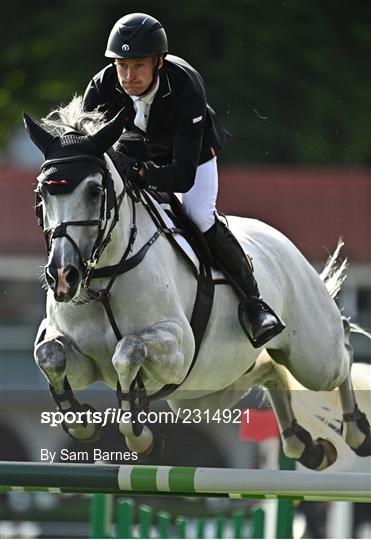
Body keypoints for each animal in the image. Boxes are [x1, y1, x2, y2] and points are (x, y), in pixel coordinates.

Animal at [24, 99, 370, 470]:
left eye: (95, 190)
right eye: (42, 193)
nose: (63, 275)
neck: (106, 277)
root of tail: (281, 240)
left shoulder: (177, 346)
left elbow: (128, 350)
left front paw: (140, 436)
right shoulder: (83, 360)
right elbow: (49, 354)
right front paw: (82, 424)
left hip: (313, 358)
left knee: (341, 349)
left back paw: (356, 432)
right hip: (204, 389)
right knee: (268, 371)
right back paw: (304, 446)